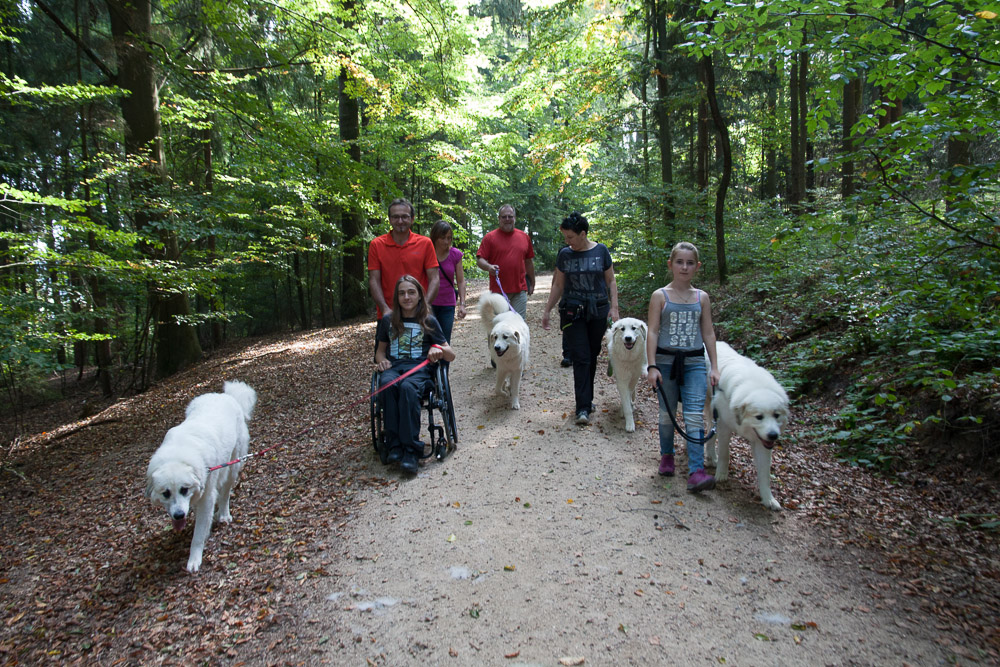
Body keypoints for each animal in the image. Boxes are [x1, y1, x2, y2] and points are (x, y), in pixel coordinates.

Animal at [147, 380, 260, 576]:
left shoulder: (206, 496)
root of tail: (226, 396)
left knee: (225, 494)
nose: (179, 515)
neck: (178, 455)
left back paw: (223, 515)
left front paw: (194, 560)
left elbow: (198, 534)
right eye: (166, 493)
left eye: (184, 489)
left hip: (232, 465)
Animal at [704, 344, 788, 512]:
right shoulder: (724, 425)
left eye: (776, 415)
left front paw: (769, 499)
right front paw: (721, 475)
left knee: (710, 431)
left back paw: (711, 457)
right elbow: (725, 453)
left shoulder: (762, 443)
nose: (773, 435)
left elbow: (765, 473)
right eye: (759, 417)